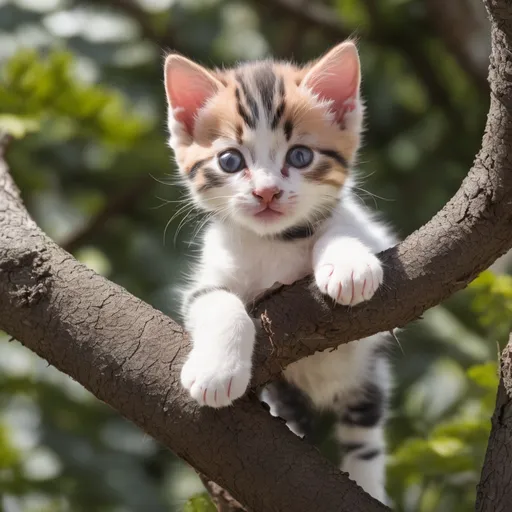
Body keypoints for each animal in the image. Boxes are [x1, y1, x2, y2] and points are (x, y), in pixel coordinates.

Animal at [162, 41, 394, 504]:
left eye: (300, 156)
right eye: (230, 161)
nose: (266, 192)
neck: (275, 243)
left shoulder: (375, 234)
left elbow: (342, 227)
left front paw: (348, 264)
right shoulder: (206, 280)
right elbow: (219, 302)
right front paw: (216, 373)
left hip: (366, 378)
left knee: (364, 436)